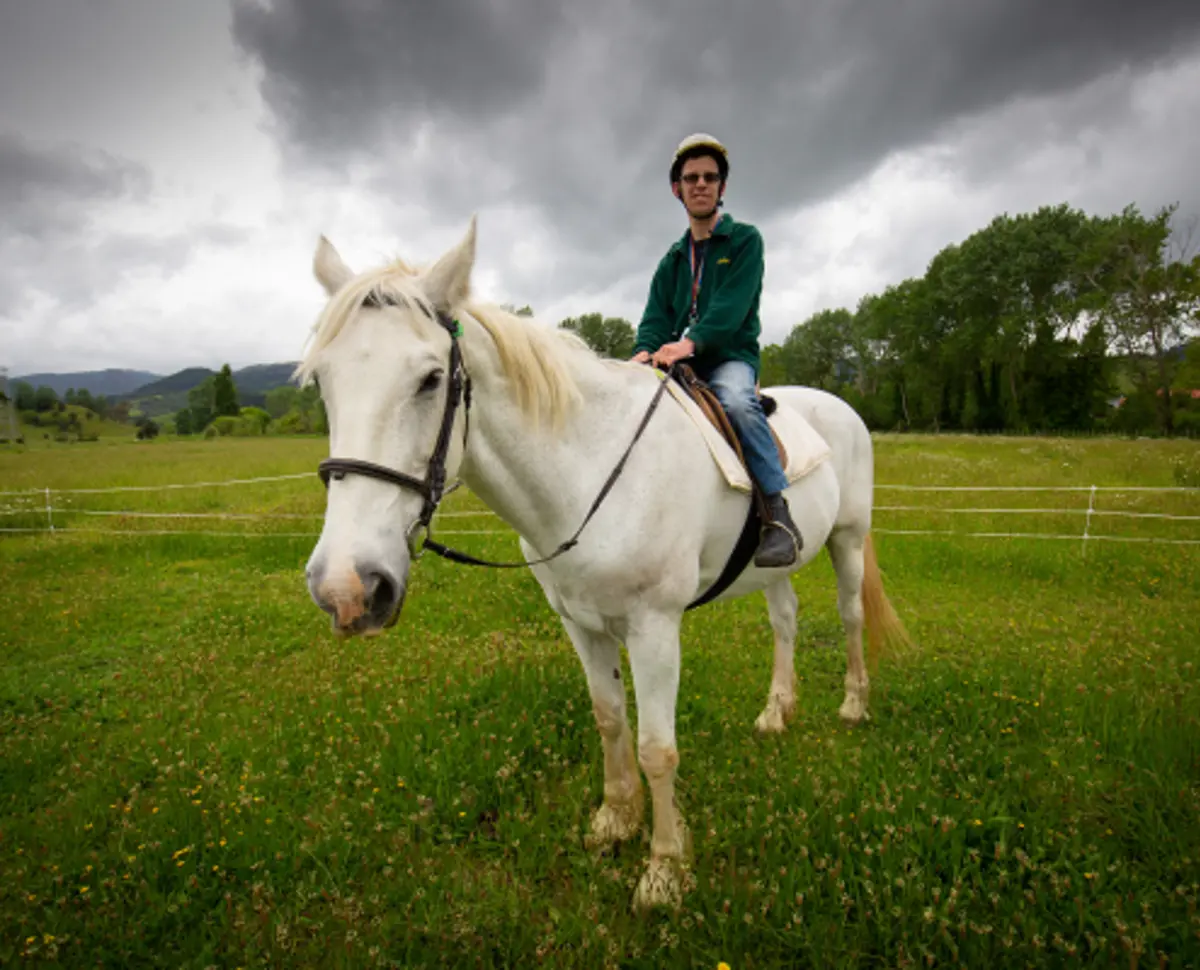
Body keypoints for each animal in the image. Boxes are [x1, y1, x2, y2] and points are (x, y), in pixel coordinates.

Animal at [299, 217, 910, 911]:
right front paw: (616, 821)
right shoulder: (581, 623)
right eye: (322, 383)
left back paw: (854, 705)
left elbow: (657, 748)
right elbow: (610, 719)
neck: (589, 467)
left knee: (850, 614)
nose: (347, 588)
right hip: (775, 565)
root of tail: (840, 405)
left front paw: (664, 871)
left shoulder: (654, 628)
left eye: (430, 379)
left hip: (848, 540)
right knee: (785, 620)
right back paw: (776, 712)